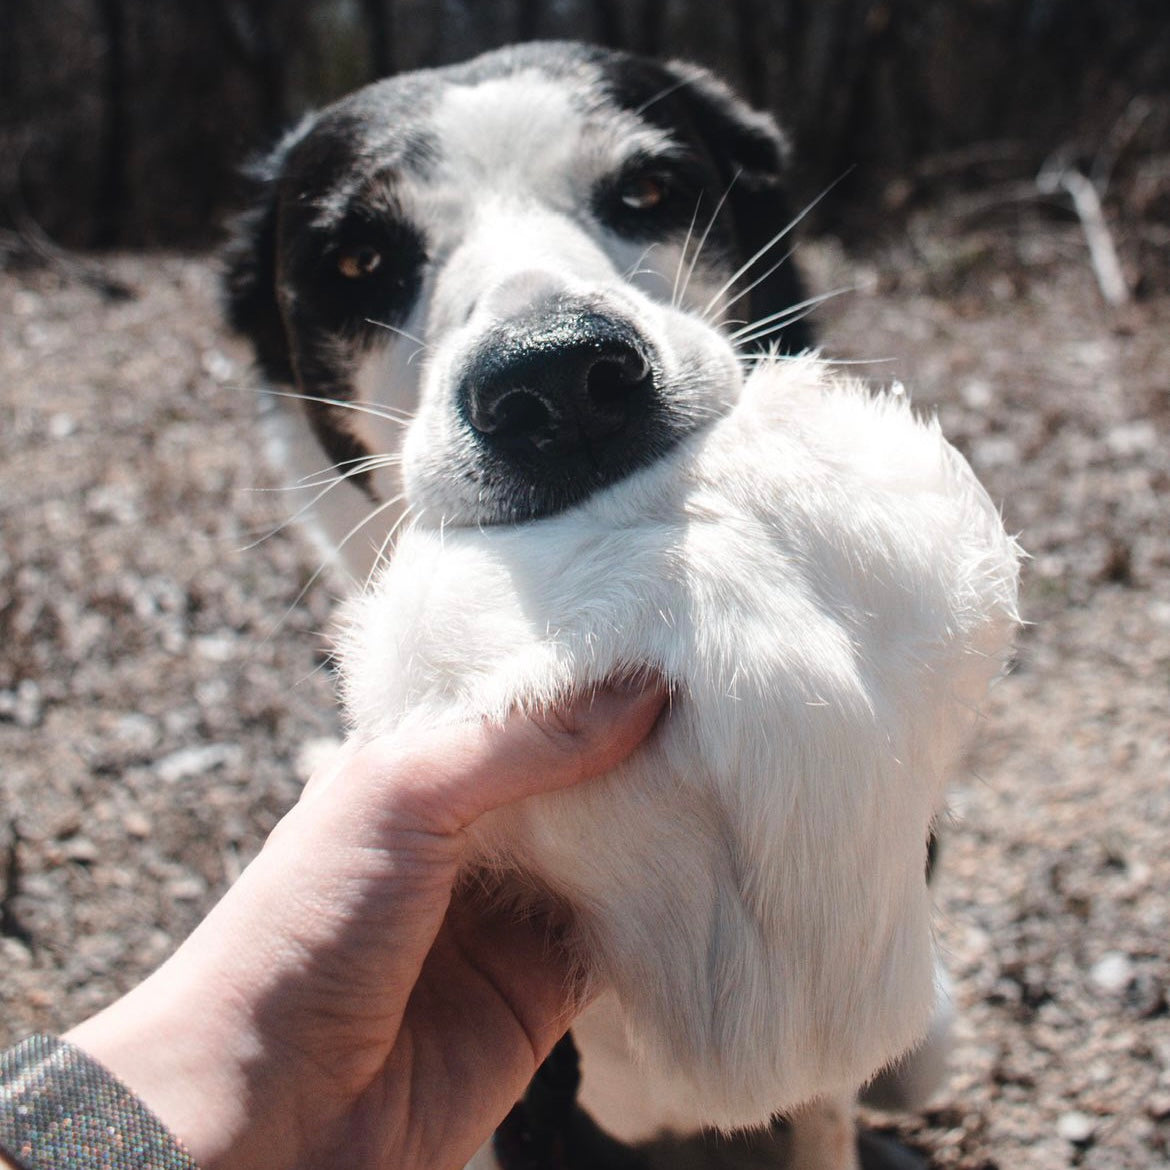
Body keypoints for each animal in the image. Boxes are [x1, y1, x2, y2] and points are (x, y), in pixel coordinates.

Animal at [223, 41, 1020, 1165]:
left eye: (649, 190)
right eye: (357, 260)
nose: (557, 379)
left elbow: (822, 1115)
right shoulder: (530, 1102)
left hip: (930, 1041)